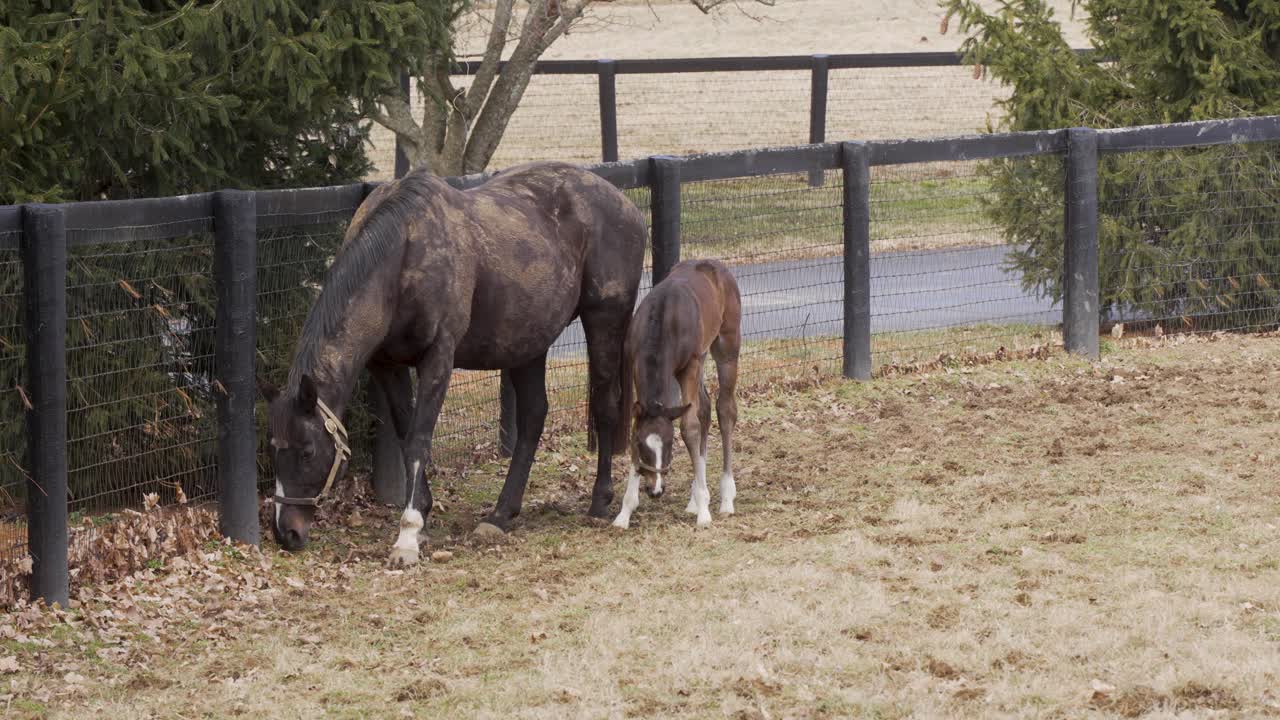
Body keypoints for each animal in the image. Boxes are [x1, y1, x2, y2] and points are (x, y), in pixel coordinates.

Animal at [259, 161, 646, 565]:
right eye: (272, 449)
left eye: (307, 451)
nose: (286, 532)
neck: (403, 253)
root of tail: (626, 206)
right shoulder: (387, 365)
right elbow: (405, 435)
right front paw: (423, 512)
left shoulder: (438, 359)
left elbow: (418, 440)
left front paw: (408, 534)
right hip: (529, 344)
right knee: (533, 417)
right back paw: (501, 513)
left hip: (605, 320)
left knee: (604, 405)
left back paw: (600, 501)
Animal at [611, 259, 742, 530]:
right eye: (641, 445)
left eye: (671, 444)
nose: (656, 490)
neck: (663, 319)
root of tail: (716, 264)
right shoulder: (635, 364)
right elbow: (637, 425)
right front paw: (624, 513)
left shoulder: (689, 366)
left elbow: (689, 427)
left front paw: (704, 512)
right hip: (703, 355)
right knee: (705, 408)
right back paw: (694, 499)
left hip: (726, 346)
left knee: (725, 409)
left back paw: (726, 498)